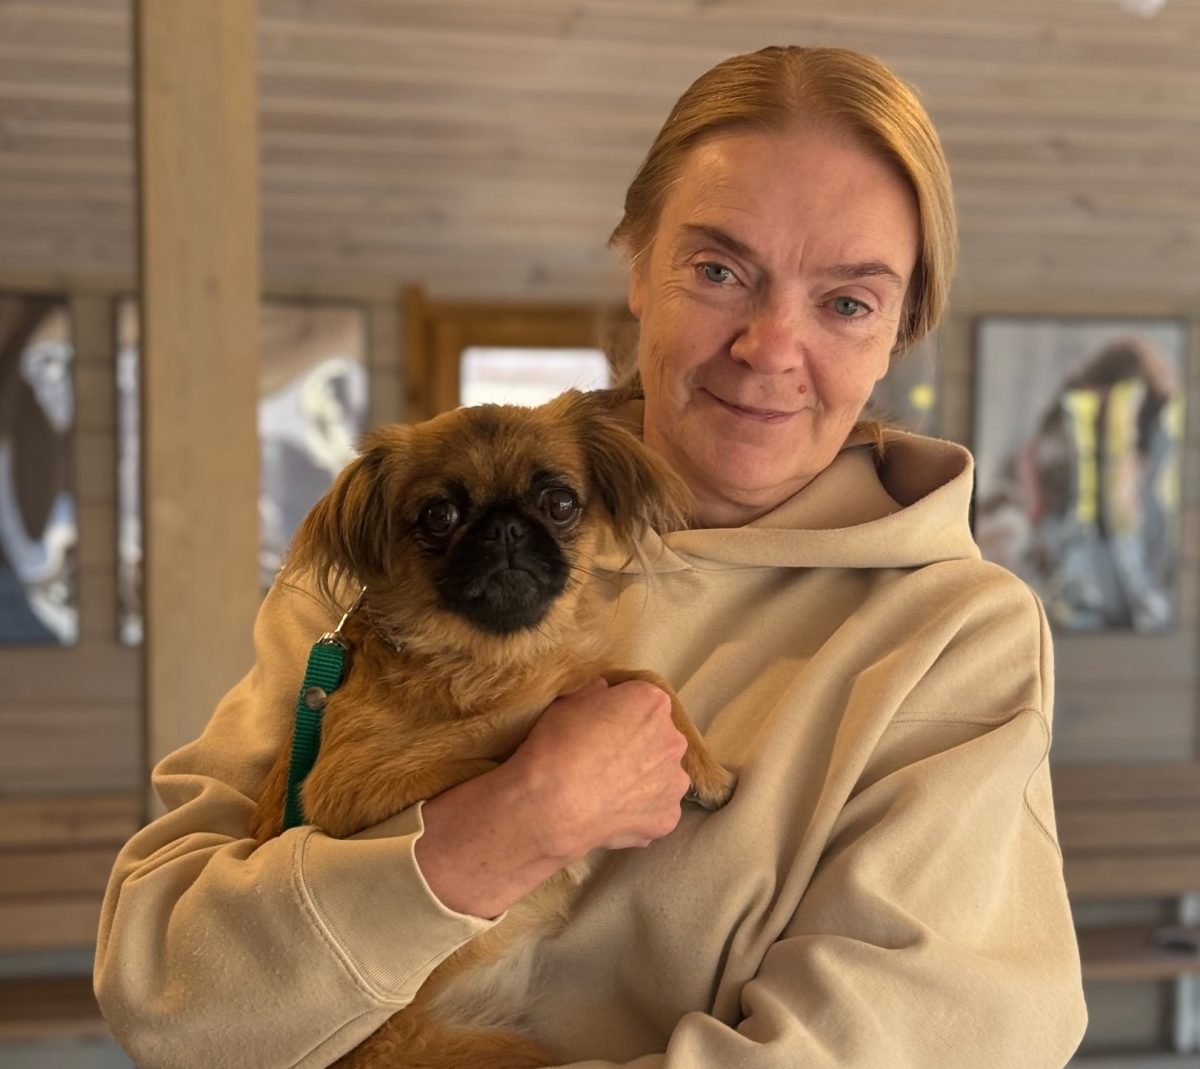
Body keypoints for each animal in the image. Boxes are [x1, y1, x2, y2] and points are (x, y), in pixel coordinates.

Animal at [253, 391, 729, 1069]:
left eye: (560, 503)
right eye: (440, 515)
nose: (506, 527)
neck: (490, 664)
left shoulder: (579, 674)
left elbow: (640, 677)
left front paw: (705, 770)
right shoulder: (345, 788)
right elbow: (491, 763)